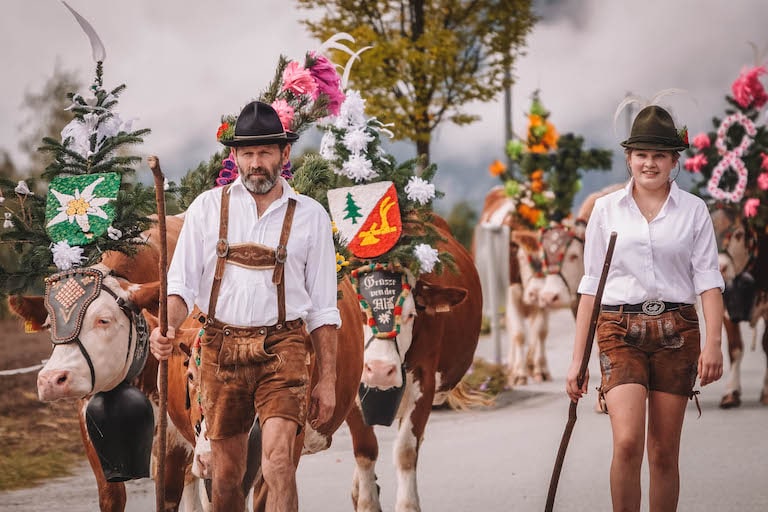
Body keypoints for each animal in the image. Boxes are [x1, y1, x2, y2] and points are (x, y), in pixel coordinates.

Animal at [346, 216, 484, 512]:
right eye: (359, 313)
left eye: (410, 314)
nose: (380, 370)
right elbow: (365, 450)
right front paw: (367, 501)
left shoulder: (424, 381)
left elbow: (406, 451)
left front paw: (408, 504)